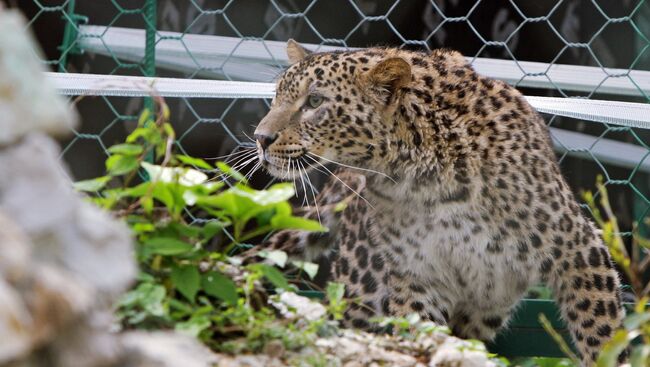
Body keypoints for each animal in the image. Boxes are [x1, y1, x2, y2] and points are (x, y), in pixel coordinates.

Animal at [249, 38, 624, 366]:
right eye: (277, 97)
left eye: (314, 102)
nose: (260, 138)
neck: (421, 177)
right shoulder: (418, 277)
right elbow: (421, 333)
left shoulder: (579, 250)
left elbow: (603, 334)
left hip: (490, 301)